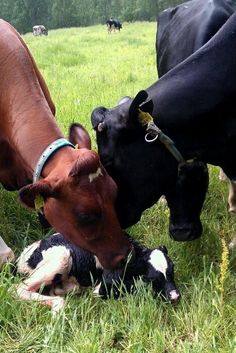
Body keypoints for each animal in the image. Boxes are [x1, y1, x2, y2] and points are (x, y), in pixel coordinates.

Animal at [15, 234, 180, 310]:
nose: (175, 296)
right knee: (18, 289)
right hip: (61, 259)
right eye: (152, 278)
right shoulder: (103, 288)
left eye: (172, 268)